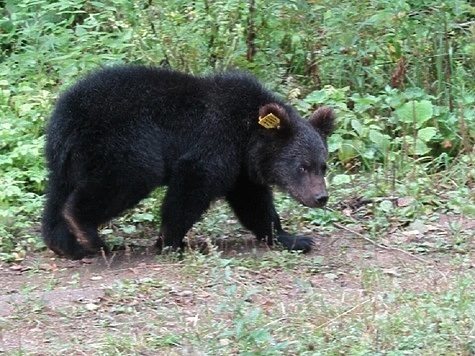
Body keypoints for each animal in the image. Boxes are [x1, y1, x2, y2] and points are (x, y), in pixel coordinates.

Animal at [42, 64, 336, 258]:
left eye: (323, 165)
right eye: (302, 166)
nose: (320, 197)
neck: (247, 136)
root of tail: (68, 115)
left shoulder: (241, 169)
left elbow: (254, 203)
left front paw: (293, 238)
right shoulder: (216, 142)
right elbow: (192, 186)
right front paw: (171, 240)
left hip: (66, 159)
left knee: (58, 193)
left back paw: (65, 243)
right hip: (125, 143)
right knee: (126, 179)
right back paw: (87, 232)